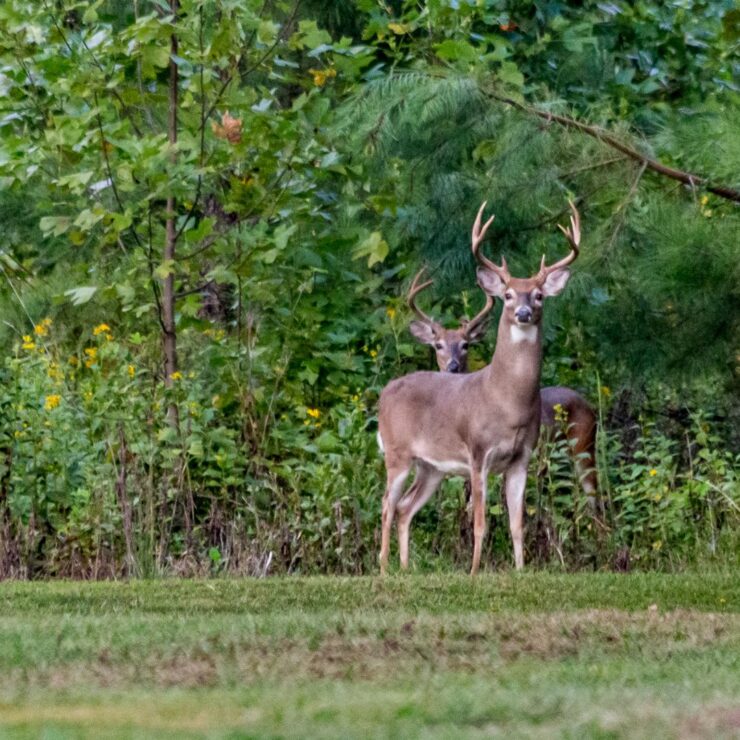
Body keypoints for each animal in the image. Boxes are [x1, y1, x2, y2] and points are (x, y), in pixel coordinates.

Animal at [382, 199, 584, 576]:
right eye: (507, 294)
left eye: (538, 295)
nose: (523, 313)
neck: (506, 400)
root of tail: (385, 391)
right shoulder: (478, 454)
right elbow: (479, 523)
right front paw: (474, 572)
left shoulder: (521, 457)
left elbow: (517, 523)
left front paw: (521, 571)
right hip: (397, 452)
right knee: (387, 504)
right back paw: (384, 567)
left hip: (431, 466)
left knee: (404, 507)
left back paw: (403, 567)